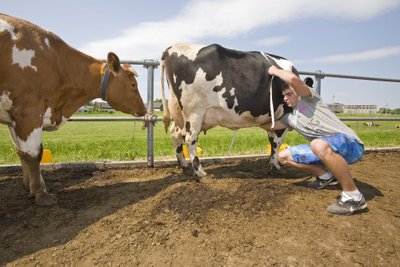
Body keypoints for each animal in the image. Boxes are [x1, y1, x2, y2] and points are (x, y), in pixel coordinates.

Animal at [0, 13, 147, 206]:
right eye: (133, 84)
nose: (144, 109)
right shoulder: (28, 111)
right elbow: (33, 154)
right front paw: (41, 194)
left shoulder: (14, 118)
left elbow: (22, 153)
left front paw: (30, 187)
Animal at [160, 43, 296, 179]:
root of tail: (172, 47)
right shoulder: (283, 115)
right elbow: (277, 142)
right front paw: (276, 165)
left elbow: (272, 140)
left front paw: (272, 164)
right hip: (194, 111)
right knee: (189, 138)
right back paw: (200, 172)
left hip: (179, 112)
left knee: (175, 133)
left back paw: (183, 165)